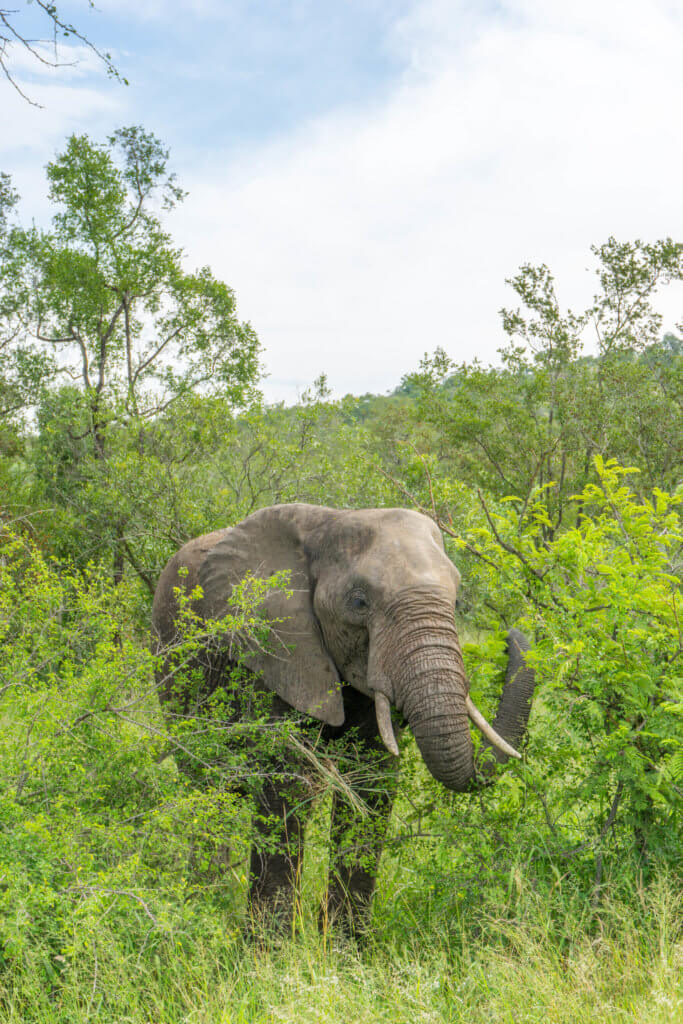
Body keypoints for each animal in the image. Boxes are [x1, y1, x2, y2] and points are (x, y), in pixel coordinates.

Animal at [152, 503, 536, 937]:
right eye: (358, 602)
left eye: (455, 602)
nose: (511, 636)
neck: (329, 521)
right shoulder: (277, 651)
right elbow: (288, 782)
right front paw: (269, 947)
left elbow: (373, 784)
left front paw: (345, 947)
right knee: (205, 788)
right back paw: (203, 907)